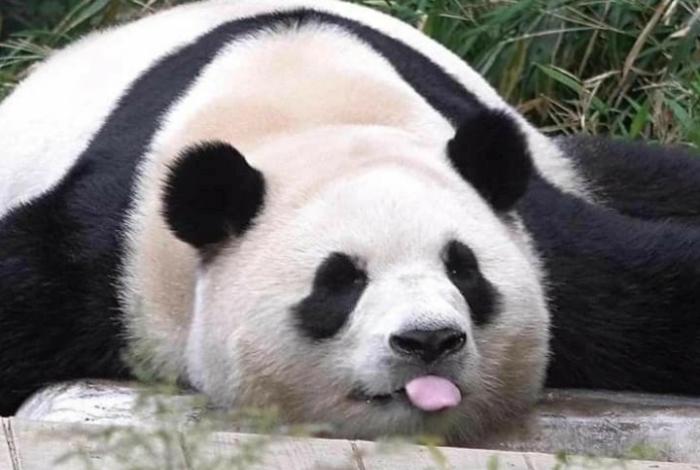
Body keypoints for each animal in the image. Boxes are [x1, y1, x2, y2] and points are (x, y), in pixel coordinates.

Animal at [1, 0, 699, 442]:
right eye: (339, 282)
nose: (429, 341)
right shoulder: (112, 249)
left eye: (464, 270)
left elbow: (649, 287)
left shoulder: (546, 243)